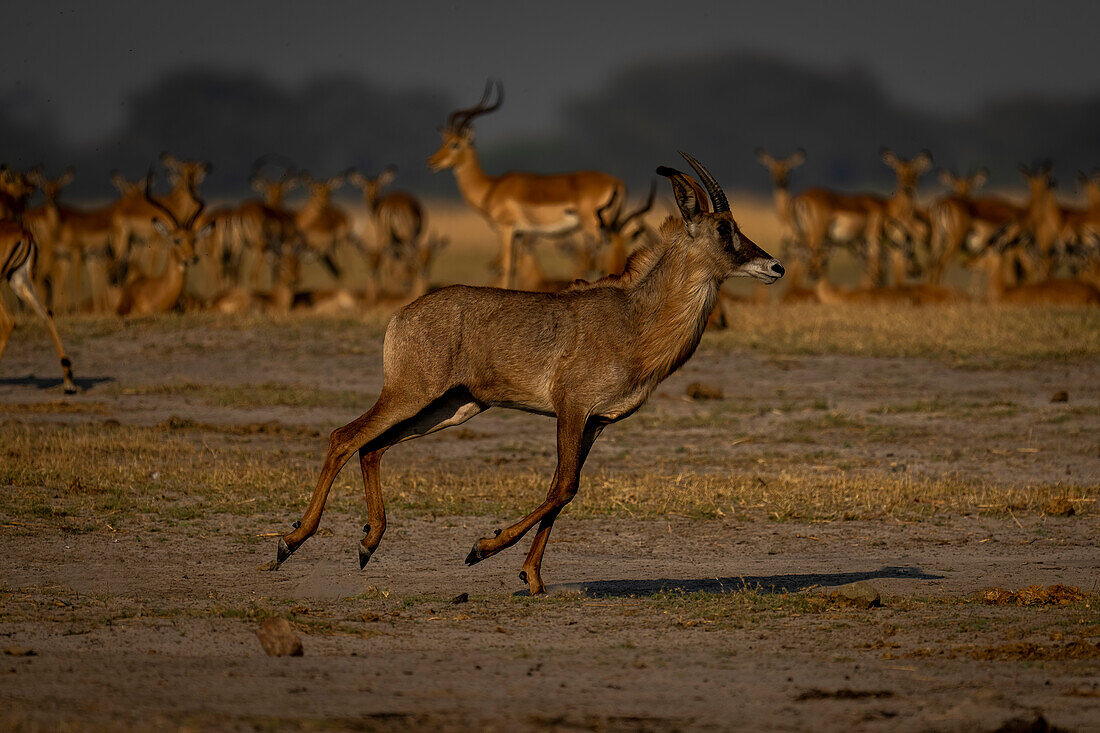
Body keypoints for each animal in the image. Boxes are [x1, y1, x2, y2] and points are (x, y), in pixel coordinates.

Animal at [272, 152, 783, 594]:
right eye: (723, 229)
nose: (774, 265)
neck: (635, 319)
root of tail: (402, 315)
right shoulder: (572, 408)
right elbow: (563, 485)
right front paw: (482, 548)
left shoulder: (597, 423)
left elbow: (564, 492)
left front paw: (531, 577)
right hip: (410, 393)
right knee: (344, 437)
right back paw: (289, 543)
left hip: (450, 408)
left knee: (372, 448)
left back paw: (367, 543)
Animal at [426, 78, 624, 286]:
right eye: (444, 141)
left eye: (455, 144)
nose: (432, 162)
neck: (491, 187)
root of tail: (616, 182)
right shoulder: (519, 233)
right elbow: (512, 267)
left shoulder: (505, 229)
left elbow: (506, 268)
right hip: (610, 225)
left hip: (594, 225)